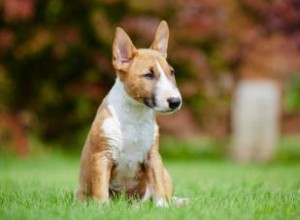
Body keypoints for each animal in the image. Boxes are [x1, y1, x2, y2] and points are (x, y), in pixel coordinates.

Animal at [76, 20, 182, 206]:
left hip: (164, 172)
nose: (175, 102)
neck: (135, 115)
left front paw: (163, 207)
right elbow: (100, 188)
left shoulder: (153, 157)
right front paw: (102, 207)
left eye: (172, 72)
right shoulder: (102, 156)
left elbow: (159, 187)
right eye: (148, 75)